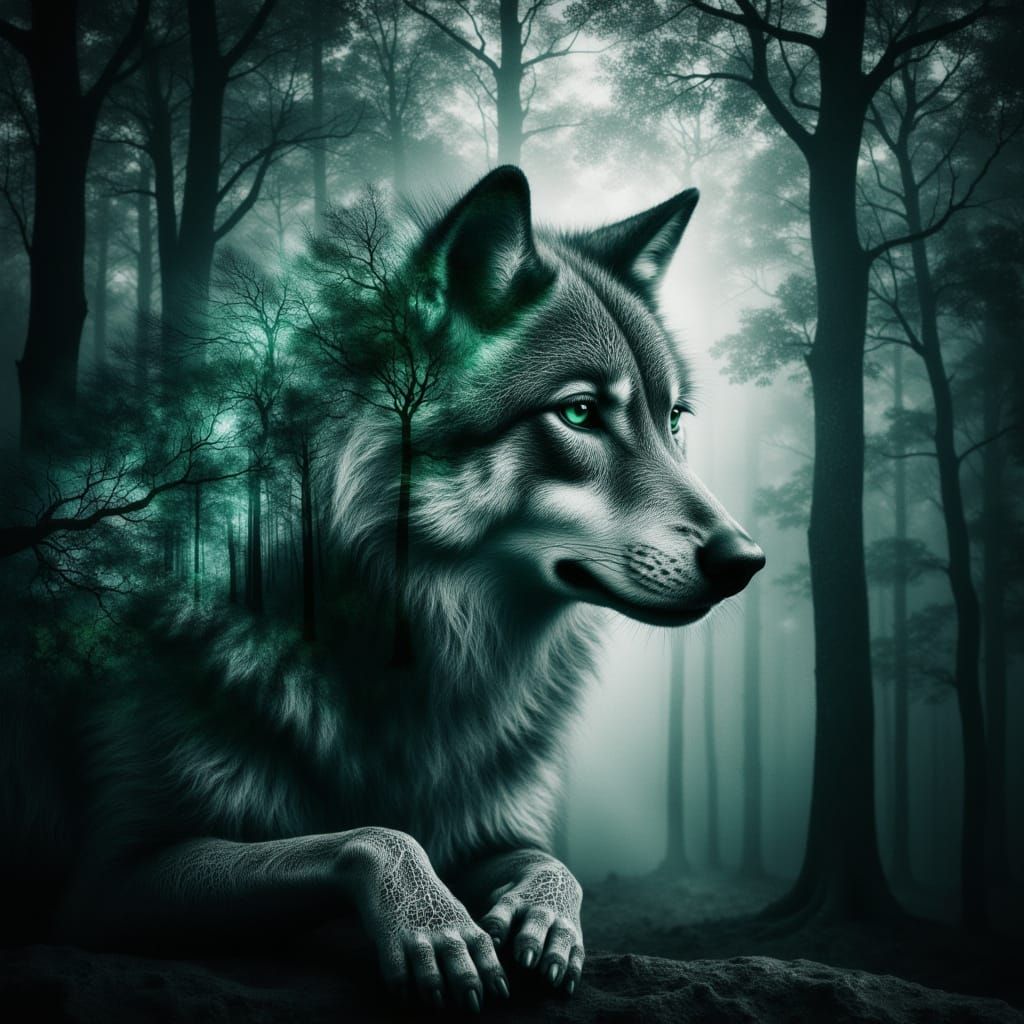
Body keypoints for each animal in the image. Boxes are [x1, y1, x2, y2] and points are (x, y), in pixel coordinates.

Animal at [3, 166, 763, 1012]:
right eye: (579, 413)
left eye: (674, 419)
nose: (746, 559)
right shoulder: (110, 885)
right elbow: (372, 835)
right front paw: (438, 927)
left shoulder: (494, 827)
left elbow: (551, 863)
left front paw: (545, 923)